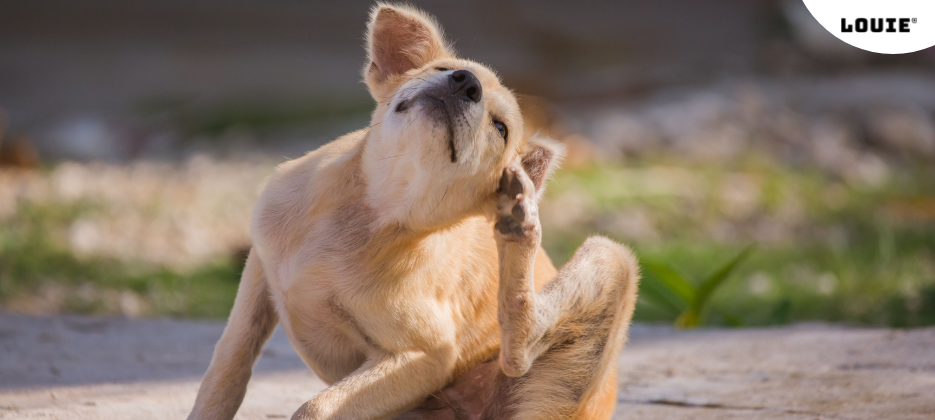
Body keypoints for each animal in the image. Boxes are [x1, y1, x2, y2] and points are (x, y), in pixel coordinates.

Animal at [188, 4, 644, 420]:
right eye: (445, 69)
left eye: (500, 128)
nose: (465, 83)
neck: (374, 210)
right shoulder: (259, 271)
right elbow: (227, 367)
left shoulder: (425, 357)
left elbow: (315, 408)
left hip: (612, 260)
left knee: (520, 352)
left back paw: (520, 225)